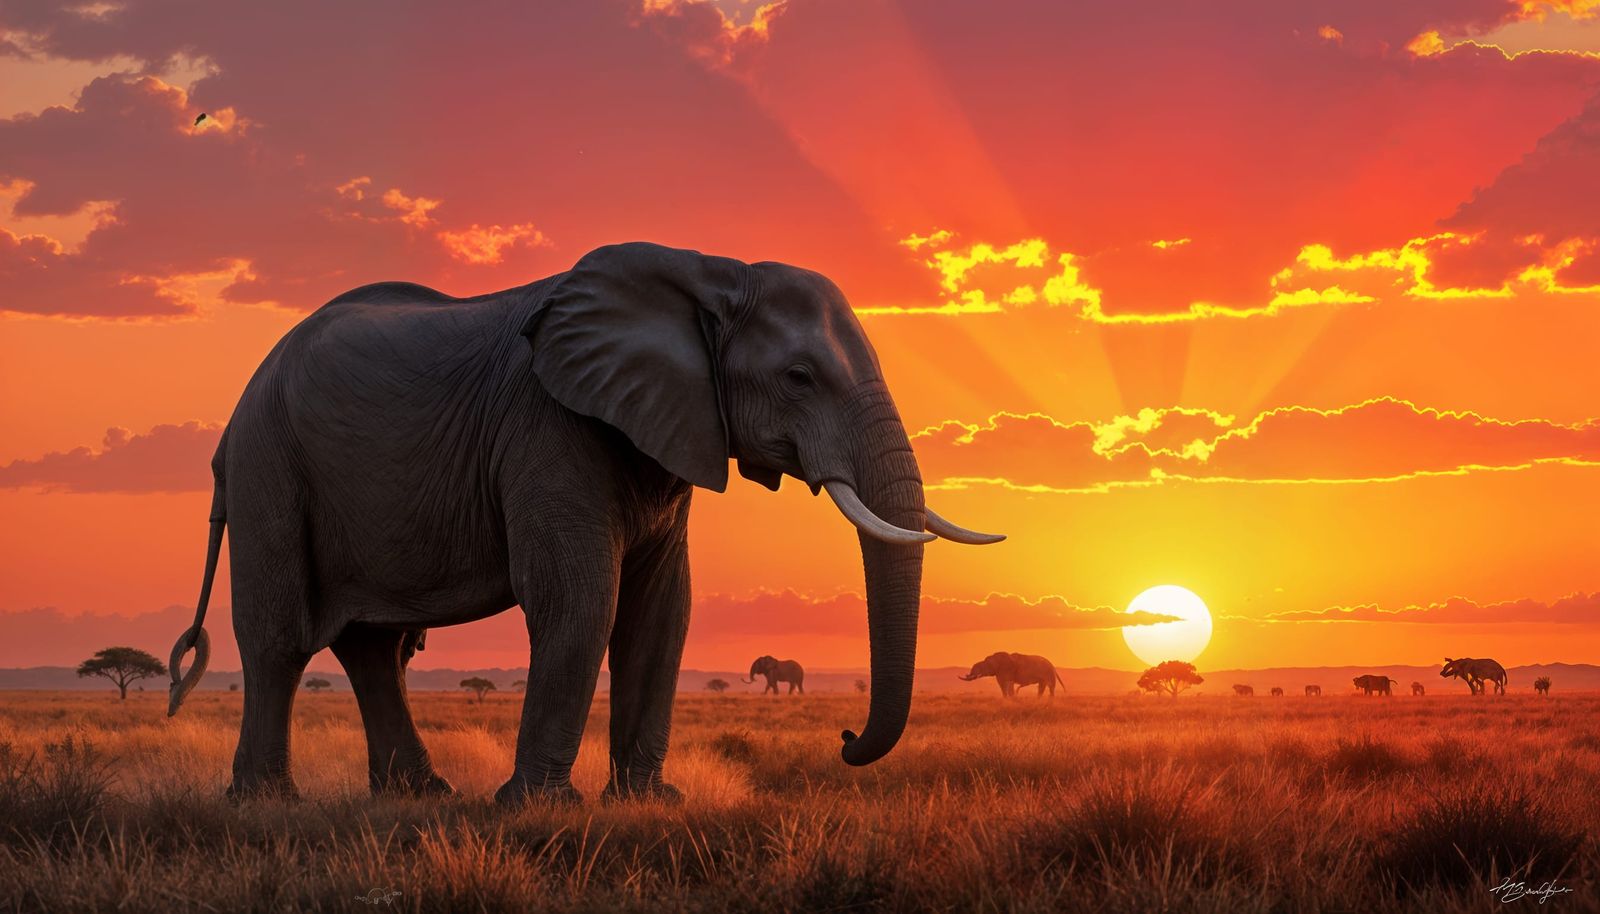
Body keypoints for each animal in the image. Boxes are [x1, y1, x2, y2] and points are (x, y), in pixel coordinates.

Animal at [163, 242, 1004, 804]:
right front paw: (537, 810)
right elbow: (580, 600)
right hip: (272, 467)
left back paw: (420, 796)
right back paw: (266, 804)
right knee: (278, 636)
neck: (707, 272)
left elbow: (662, 611)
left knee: (372, 647)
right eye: (799, 377)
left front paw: (647, 804)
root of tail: (229, 427)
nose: (847, 740)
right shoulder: (550, 426)